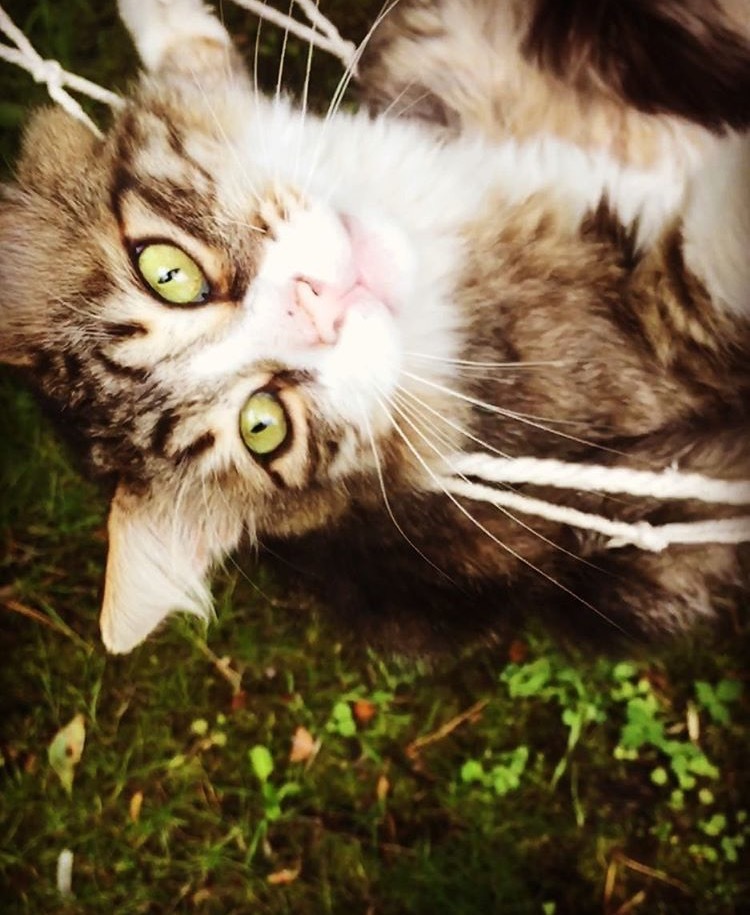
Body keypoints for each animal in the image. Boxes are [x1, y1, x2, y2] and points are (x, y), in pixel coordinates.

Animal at [0, 0, 748, 660]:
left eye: (168, 272)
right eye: (264, 425)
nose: (317, 307)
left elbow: (194, 65)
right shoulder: (662, 342)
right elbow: (715, 246)